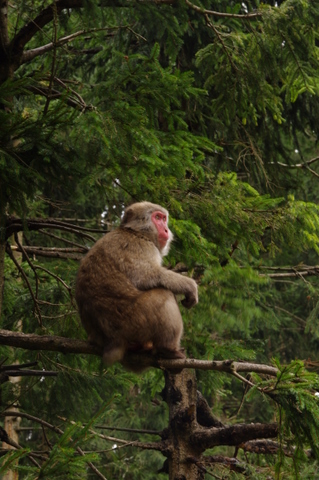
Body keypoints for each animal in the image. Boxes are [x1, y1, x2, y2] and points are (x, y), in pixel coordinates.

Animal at [76, 201, 199, 370]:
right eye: (157, 218)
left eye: (164, 218)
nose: (166, 229)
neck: (136, 232)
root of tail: (111, 341)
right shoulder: (140, 246)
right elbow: (146, 276)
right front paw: (190, 286)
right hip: (134, 322)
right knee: (164, 294)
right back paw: (168, 349)